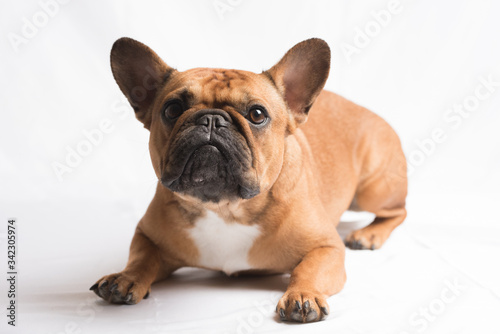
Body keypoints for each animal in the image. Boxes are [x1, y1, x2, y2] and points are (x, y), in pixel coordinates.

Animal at [92, 37, 406, 324]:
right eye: (172, 109)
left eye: (257, 114)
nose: (211, 119)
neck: (225, 207)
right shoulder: (147, 235)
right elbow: (142, 257)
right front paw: (126, 277)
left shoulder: (326, 247)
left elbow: (308, 269)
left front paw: (303, 294)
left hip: (371, 191)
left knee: (398, 211)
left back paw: (368, 235)